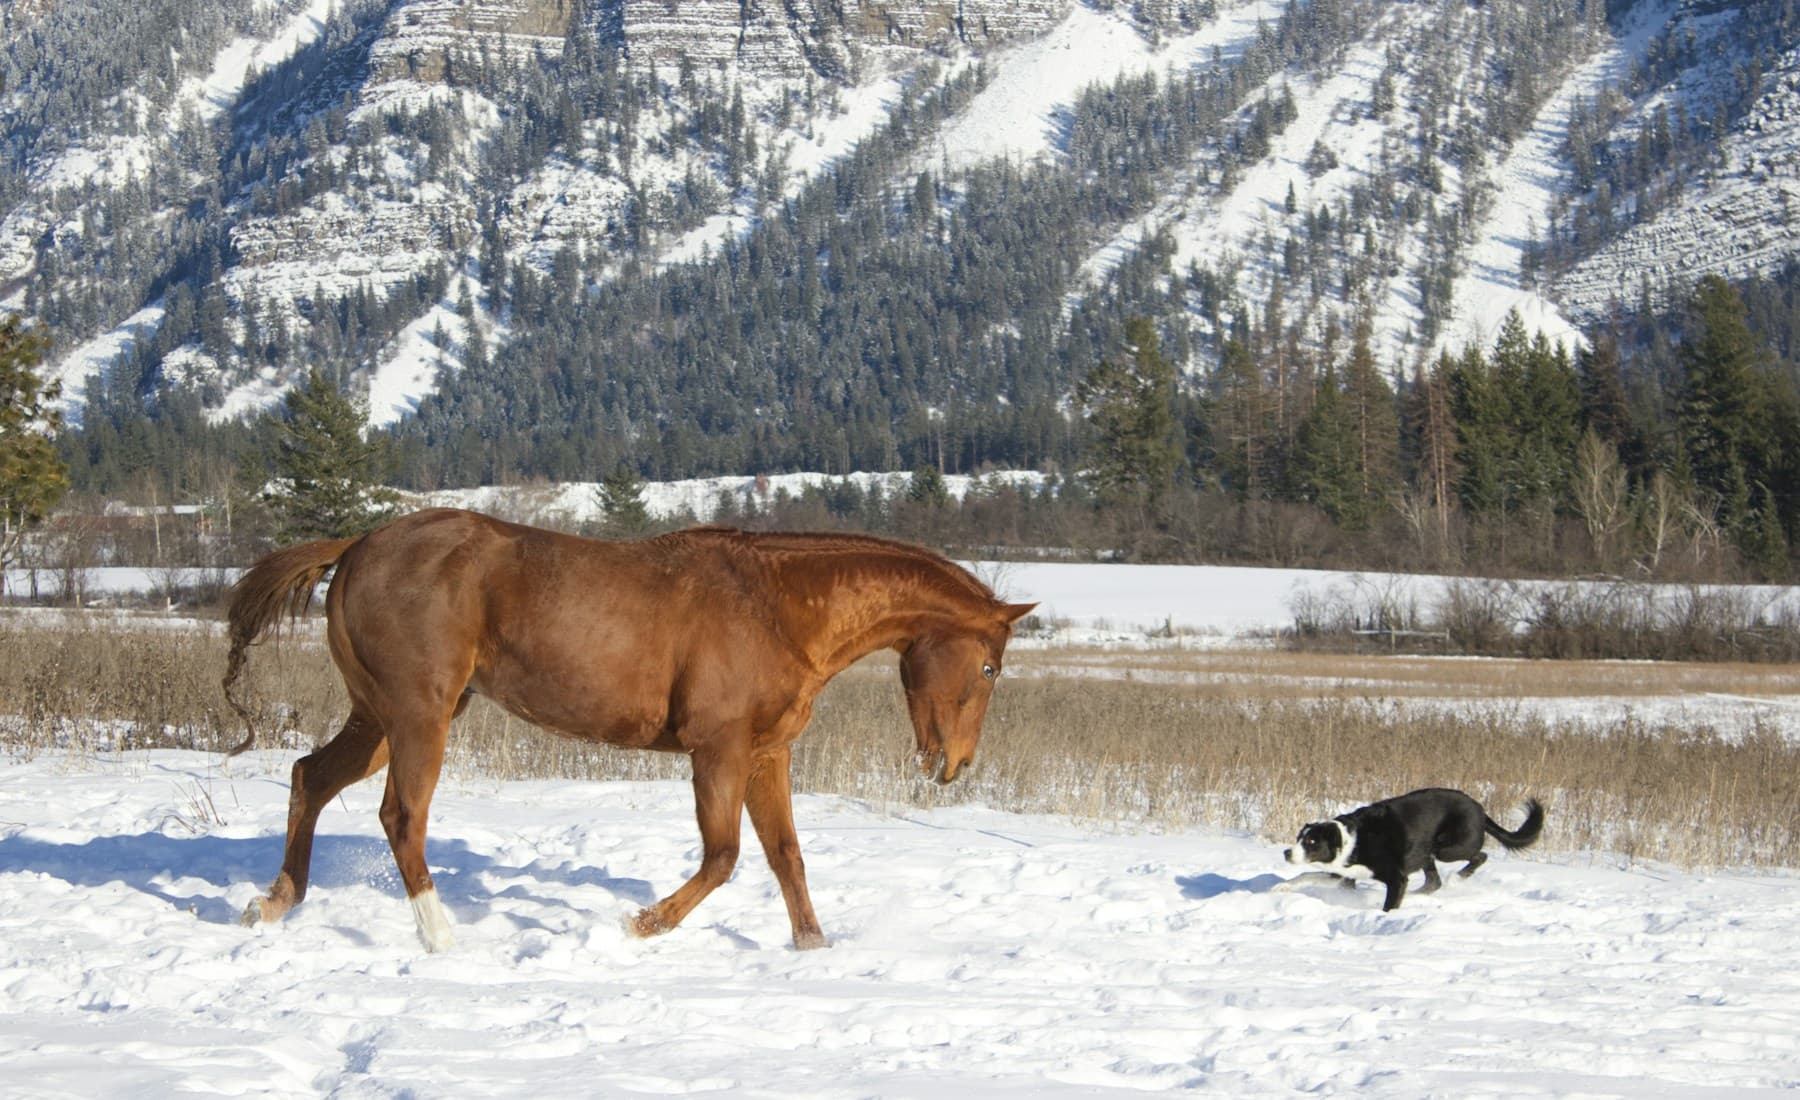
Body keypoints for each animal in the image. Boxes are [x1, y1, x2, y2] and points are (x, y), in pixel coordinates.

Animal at [222, 508, 1034, 952]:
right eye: (991, 668)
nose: (954, 765)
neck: (776, 607)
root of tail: (357, 546)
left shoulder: (766, 754)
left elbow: (786, 859)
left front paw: (812, 947)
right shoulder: (716, 751)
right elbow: (724, 858)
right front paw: (640, 926)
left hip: (383, 717)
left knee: (309, 777)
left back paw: (272, 903)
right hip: (420, 715)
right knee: (401, 817)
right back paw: (441, 937)